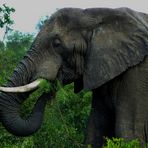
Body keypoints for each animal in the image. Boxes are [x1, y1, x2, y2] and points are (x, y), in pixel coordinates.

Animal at [0, 7, 148, 148]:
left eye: (57, 43)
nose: (51, 86)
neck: (96, 16)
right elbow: (95, 130)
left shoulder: (138, 72)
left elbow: (129, 133)